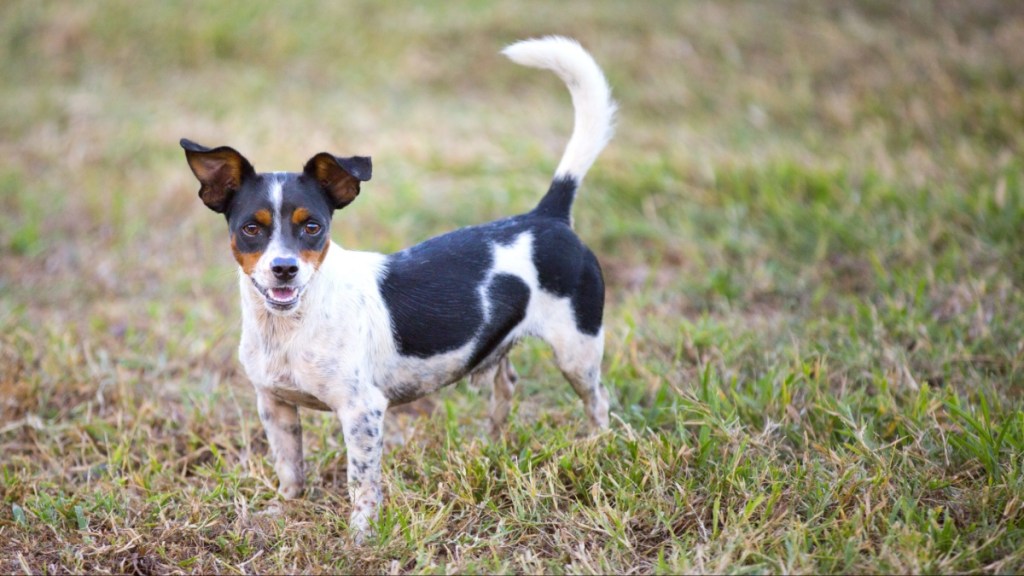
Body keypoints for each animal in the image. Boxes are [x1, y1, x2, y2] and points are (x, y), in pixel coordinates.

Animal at [179, 35, 614, 537]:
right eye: (251, 228)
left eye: (312, 227)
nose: (284, 268)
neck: (290, 326)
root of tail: (547, 216)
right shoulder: (274, 404)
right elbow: (290, 467)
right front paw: (285, 510)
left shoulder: (362, 410)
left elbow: (361, 481)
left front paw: (361, 534)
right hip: (502, 347)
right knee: (507, 385)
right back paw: (492, 445)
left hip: (577, 351)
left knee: (598, 401)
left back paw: (599, 447)